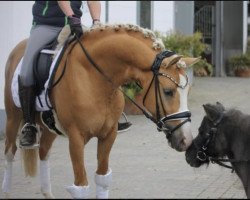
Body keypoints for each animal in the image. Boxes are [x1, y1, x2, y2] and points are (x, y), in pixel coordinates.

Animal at [2, 23, 199, 198]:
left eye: (188, 91)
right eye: (168, 91)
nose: (186, 140)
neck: (94, 77)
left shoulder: (108, 135)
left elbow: (103, 178)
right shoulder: (76, 139)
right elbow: (81, 186)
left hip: (49, 127)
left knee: (43, 151)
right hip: (13, 118)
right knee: (10, 152)